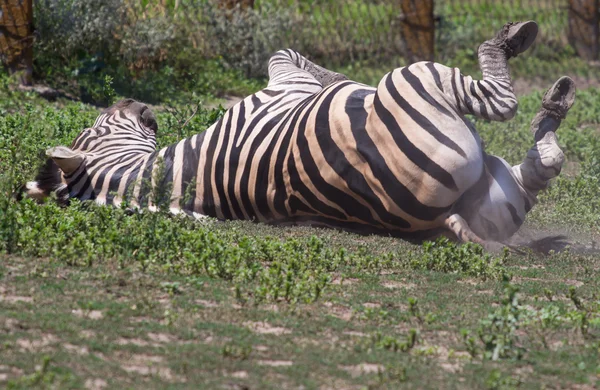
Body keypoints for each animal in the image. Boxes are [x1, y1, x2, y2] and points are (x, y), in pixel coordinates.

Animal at [22, 21, 576, 251]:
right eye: (93, 128)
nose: (130, 103)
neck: (170, 180)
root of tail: (442, 220)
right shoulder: (285, 85)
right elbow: (291, 58)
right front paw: (344, 83)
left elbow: (299, 60)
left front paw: (343, 81)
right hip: (414, 79)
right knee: (503, 106)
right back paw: (536, 74)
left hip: (492, 195)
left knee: (537, 169)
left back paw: (548, 120)